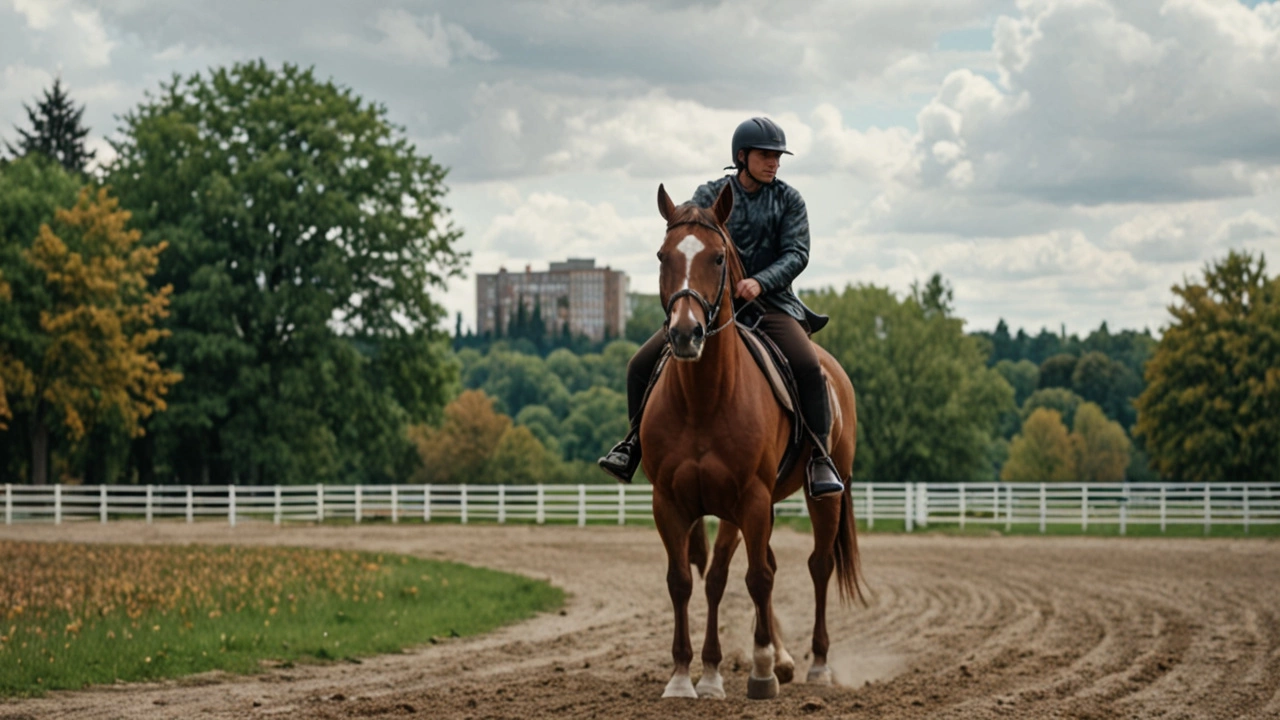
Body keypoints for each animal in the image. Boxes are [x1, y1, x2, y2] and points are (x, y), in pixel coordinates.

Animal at [645, 181, 865, 696]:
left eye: (718, 257)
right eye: (663, 256)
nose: (686, 334)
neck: (704, 398)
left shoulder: (746, 497)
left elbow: (748, 578)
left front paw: (756, 671)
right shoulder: (670, 501)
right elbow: (684, 580)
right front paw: (685, 676)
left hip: (823, 493)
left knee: (817, 565)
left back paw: (817, 664)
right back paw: (784, 660)